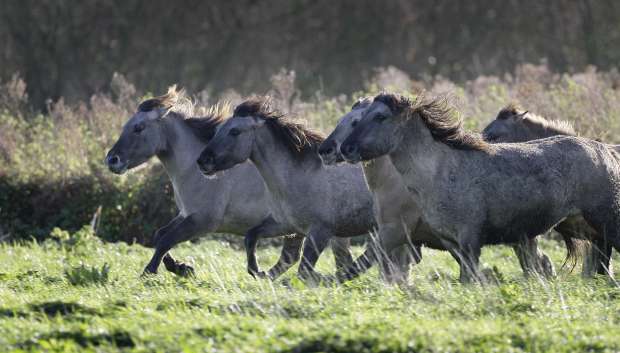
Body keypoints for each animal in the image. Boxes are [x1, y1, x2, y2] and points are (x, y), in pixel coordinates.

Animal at [196, 97, 378, 282]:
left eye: (234, 132)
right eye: (217, 130)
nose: (203, 161)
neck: (300, 177)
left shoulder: (320, 231)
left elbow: (303, 270)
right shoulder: (287, 225)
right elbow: (254, 239)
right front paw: (259, 272)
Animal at [342, 92, 620, 282]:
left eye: (380, 116)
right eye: (359, 119)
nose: (346, 148)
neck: (442, 171)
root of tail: (606, 151)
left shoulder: (470, 240)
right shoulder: (452, 243)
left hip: (605, 222)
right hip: (584, 228)